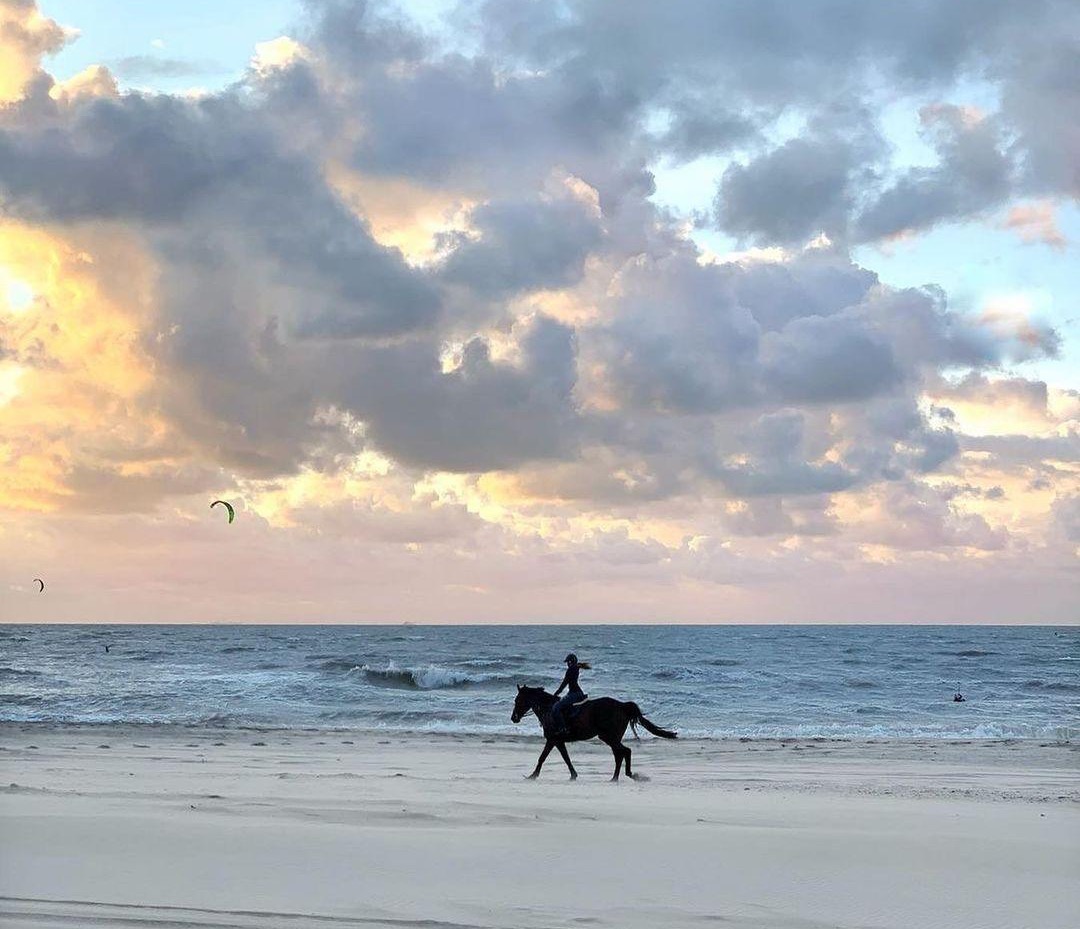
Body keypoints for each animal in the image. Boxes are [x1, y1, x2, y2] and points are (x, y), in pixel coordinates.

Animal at [507, 687, 673, 782]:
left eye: (518, 700)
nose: (514, 718)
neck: (548, 709)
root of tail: (622, 705)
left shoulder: (553, 739)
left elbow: (542, 758)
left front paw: (532, 776)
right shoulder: (559, 741)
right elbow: (566, 758)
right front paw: (573, 775)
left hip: (609, 737)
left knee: (624, 751)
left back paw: (624, 776)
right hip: (612, 738)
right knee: (620, 754)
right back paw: (617, 777)